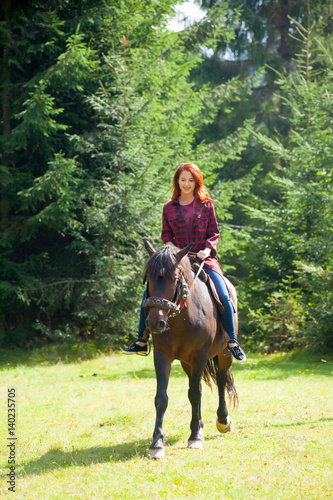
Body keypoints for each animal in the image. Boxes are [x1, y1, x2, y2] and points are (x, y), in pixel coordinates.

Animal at [141, 238, 237, 458]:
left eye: (175, 278)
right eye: (148, 277)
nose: (155, 322)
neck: (181, 318)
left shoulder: (200, 355)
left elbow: (194, 394)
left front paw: (194, 437)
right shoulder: (162, 356)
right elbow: (162, 398)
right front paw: (157, 443)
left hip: (224, 354)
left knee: (220, 381)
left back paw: (222, 420)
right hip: (187, 363)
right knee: (199, 386)